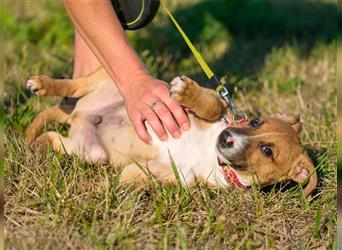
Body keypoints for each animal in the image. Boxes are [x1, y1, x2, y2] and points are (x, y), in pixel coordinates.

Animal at [26, 67, 318, 196]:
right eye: (255, 122)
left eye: (267, 151)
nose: (225, 137)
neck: (211, 155)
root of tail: (79, 114)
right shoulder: (210, 107)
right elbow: (213, 104)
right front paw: (186, 90)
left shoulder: (183, 176)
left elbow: (137, 176)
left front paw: (113, 185)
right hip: (111, 80)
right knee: (73, 86)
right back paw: (42, 84)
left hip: (88, 152)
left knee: (54, 137)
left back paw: (36, 143)